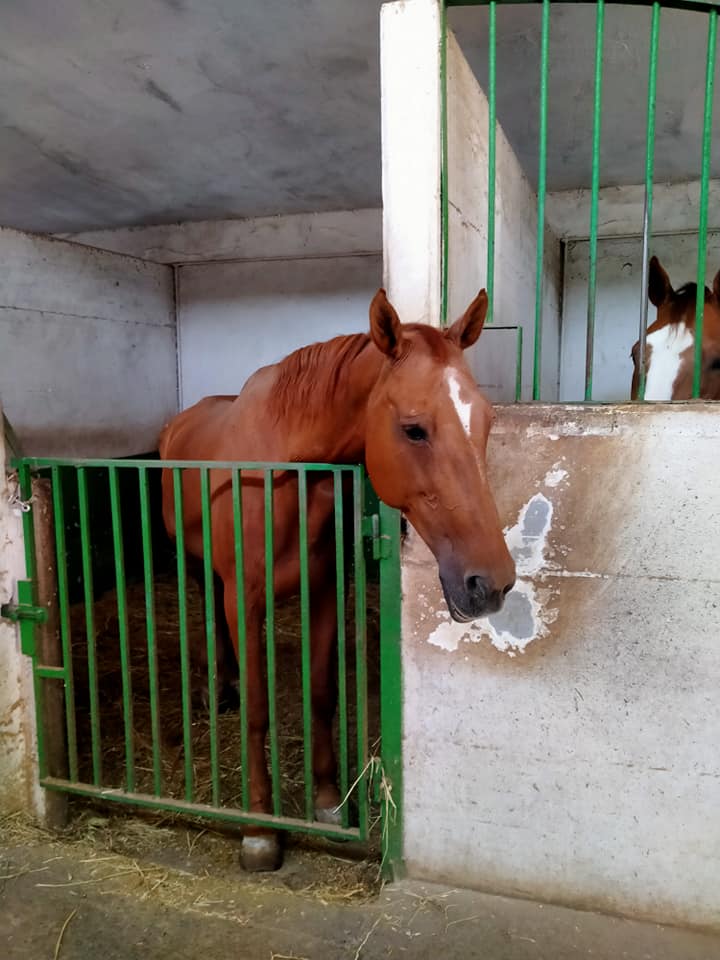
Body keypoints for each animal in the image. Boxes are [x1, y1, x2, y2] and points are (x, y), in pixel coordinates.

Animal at [160, 288, 516, 872]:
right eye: (413, 428)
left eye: (484, 422)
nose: (493, 584)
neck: (281, 473)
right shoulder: (244, 599)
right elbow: (258, 710)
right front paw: (259, 830)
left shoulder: (325, 588)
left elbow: (323, 692)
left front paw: (328, 803)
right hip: (194, 566)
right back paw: (219, 686)